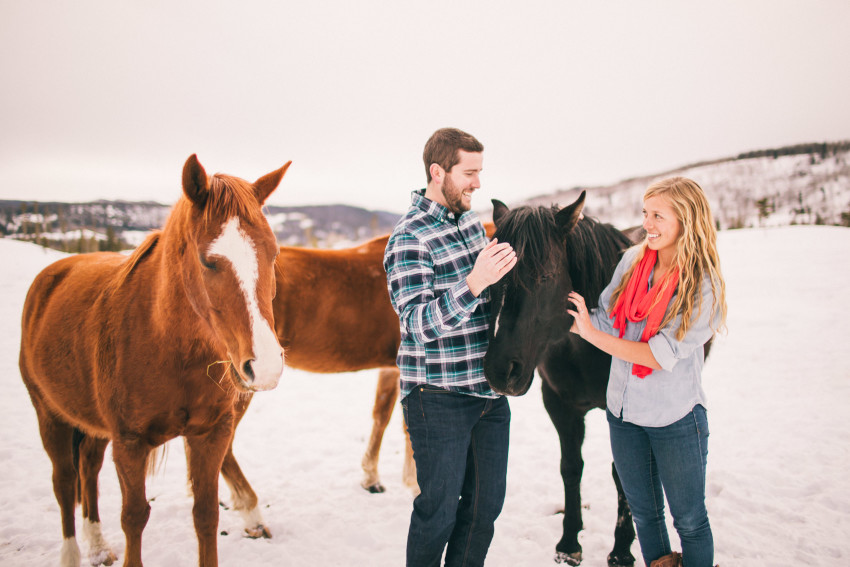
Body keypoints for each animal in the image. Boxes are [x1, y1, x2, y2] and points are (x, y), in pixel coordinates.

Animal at [16, 155, 286, 567]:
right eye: (208, 261)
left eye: (273, 253)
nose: (266, 365)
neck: (168, 348)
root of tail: (51, 275)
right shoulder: (130, 443)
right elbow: (134, 517)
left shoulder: (211, 434)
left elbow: (206, 514)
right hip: (50, 415)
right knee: (64, 483)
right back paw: (72, 553)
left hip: (95, 429)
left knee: (88, 469)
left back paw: (97, 545)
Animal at [484, 193, 636, 564]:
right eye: (488, 276)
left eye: (546, 275)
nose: (499, 372)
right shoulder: (559, 405)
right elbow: (570, 467)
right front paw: (569, 542)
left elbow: (624, 474)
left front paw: (621, 550)